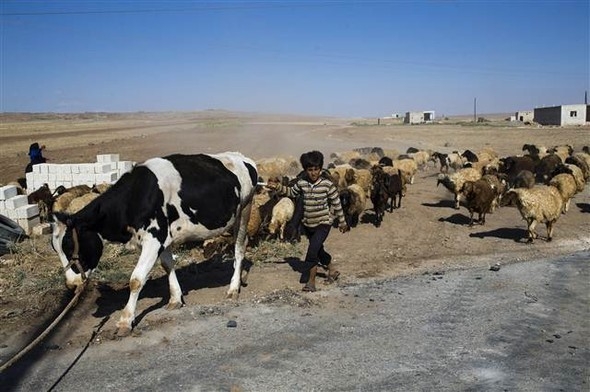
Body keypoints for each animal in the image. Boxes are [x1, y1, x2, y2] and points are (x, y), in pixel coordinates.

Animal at [49, 152, 256, 336]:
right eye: (54, 248)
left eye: (70, 246)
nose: (71, 285)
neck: (134, 197)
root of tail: (242, 157)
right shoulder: (163, 238)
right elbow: (167, 265)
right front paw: (175, 298)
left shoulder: (154, 238)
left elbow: (136, 279)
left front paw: (125, 320)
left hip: (244, 210)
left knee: (239, 248)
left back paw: (233, 288)